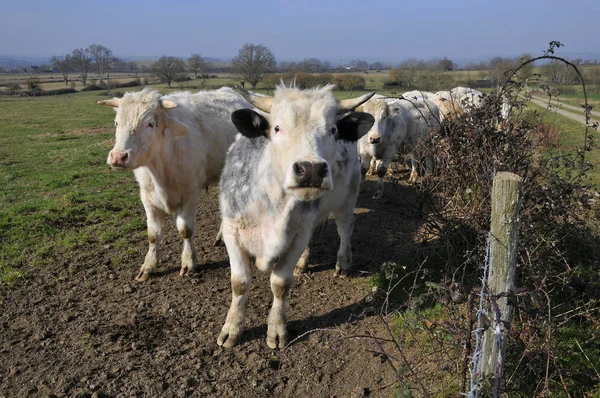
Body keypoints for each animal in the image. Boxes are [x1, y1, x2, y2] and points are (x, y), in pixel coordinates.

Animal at [98, 87, 251, 282]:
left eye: (150, 124)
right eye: (117, 123)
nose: (118, 157)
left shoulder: (191, 192)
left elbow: (185, 230)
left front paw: (189, 262)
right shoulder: (146, 196)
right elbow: (153, 234)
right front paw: (148, 266)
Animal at [216, 84, 376, 348]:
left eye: (333, 130)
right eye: (277, 127)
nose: (310, 169)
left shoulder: (297, 236)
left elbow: (280, 283)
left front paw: (276, 329)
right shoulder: (232, 231)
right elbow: (239, 283)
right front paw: (232, 328)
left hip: (349, 194)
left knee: (345, 228)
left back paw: (343, 262)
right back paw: (304, 262)